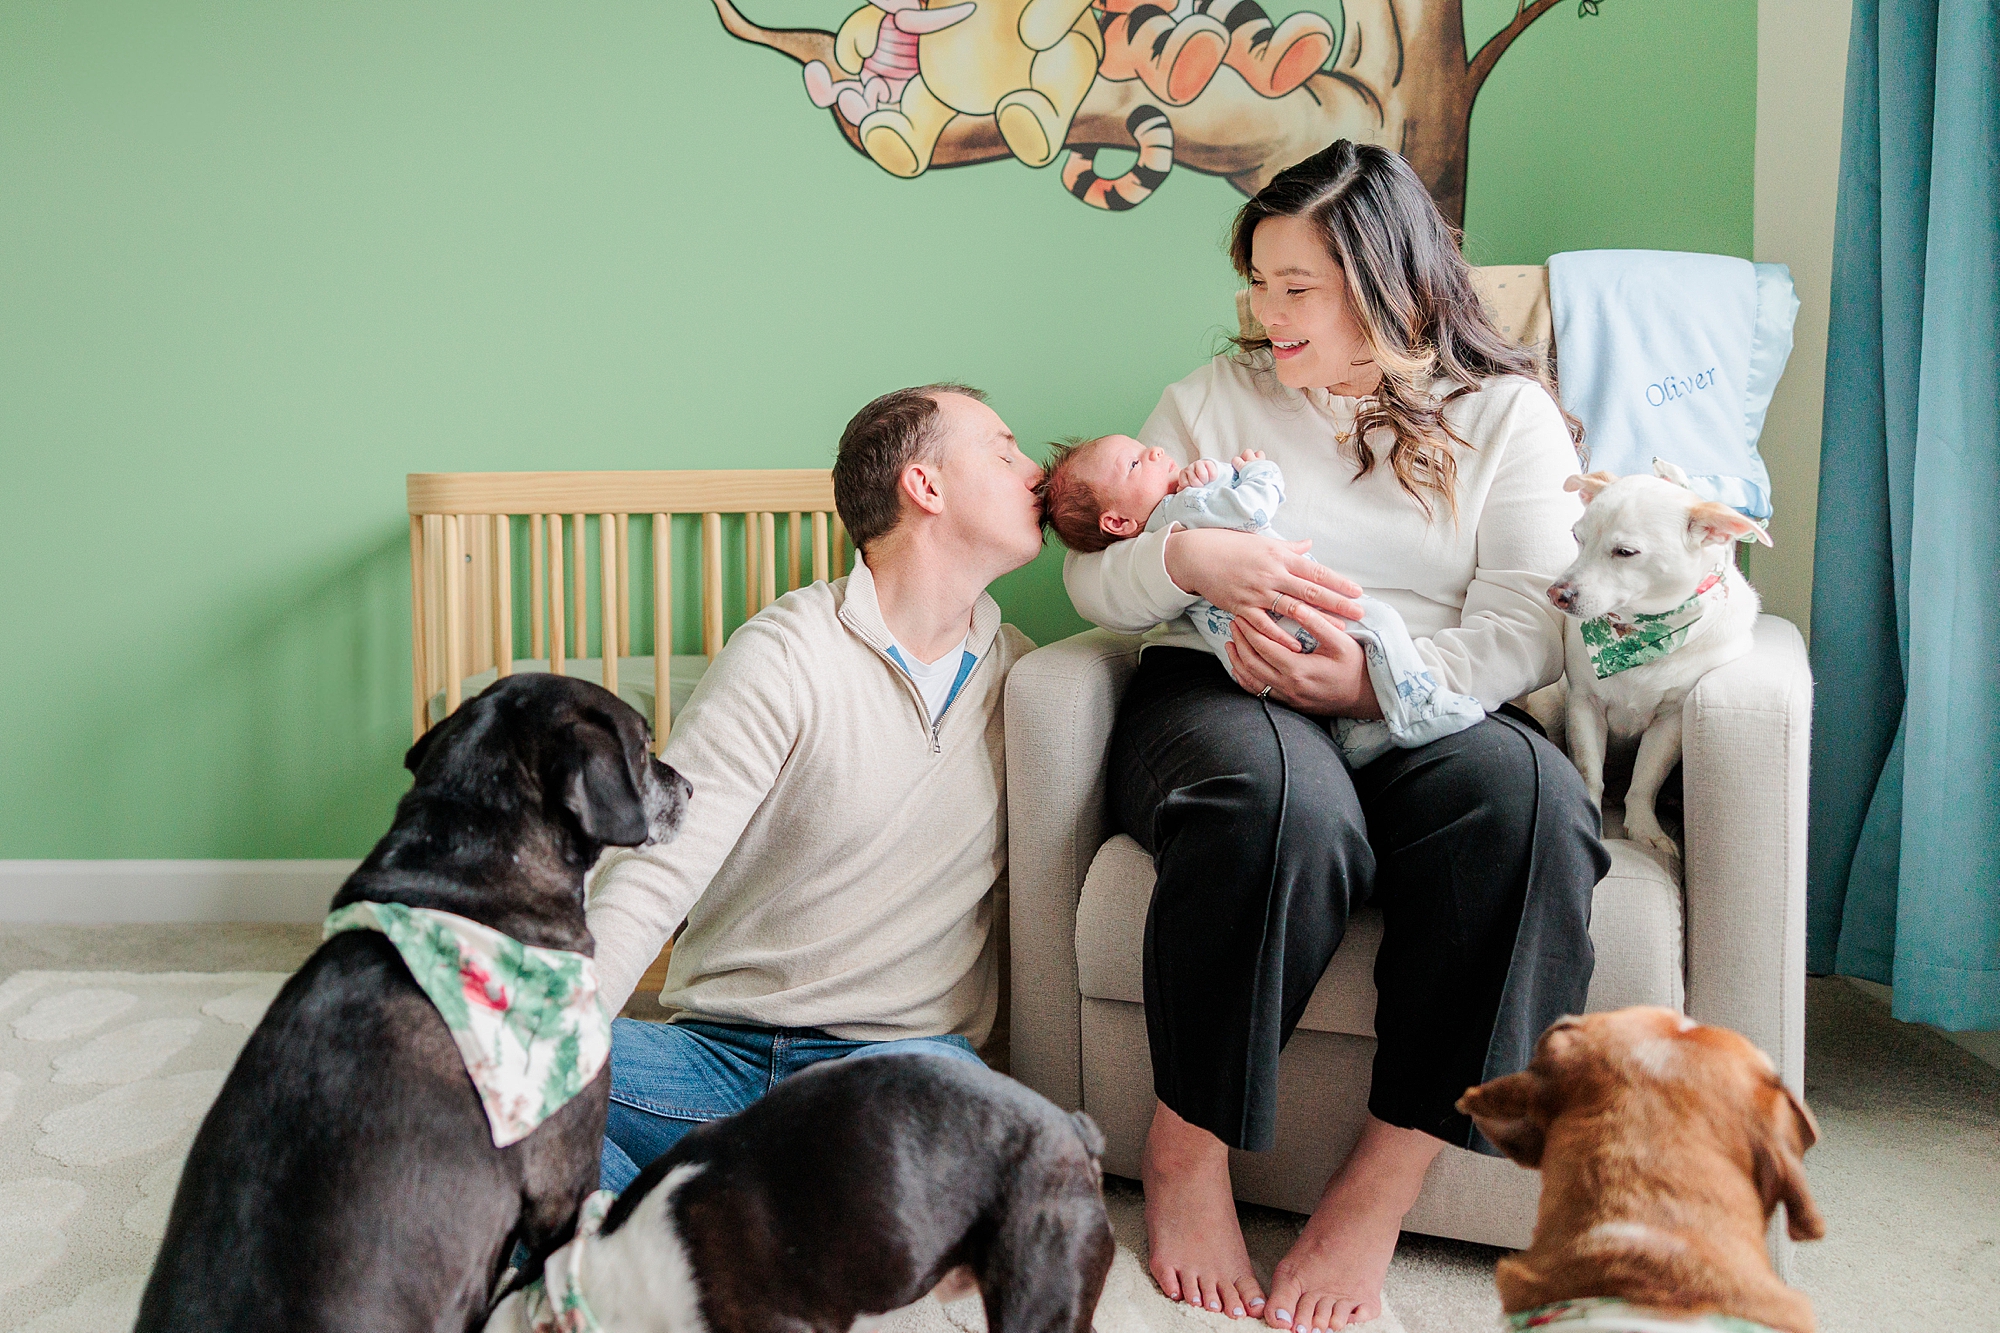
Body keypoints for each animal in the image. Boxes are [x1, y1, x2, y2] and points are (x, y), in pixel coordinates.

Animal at [1544, 462, 1768, 868]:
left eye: (1625, 552)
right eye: (1576, 538)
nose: (1557, 594)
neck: (1638, 631)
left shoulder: (1671, 722)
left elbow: (1646, 777)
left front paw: (1644, 829)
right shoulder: (1584, 705)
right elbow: (1589, 770)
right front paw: (1595, 815)